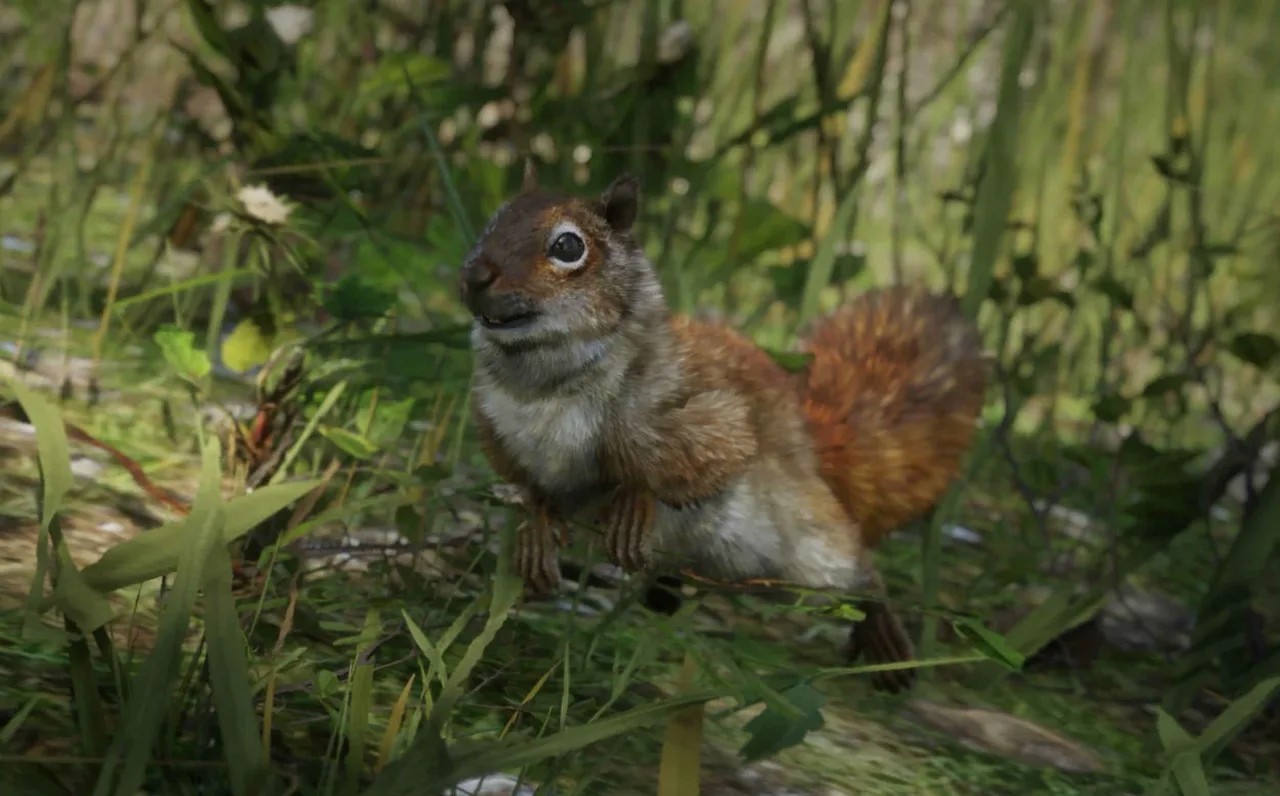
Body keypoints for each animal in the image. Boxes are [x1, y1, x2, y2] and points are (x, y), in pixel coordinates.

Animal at [460, 165, 987, 692]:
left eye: (569, 246)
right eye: (493, 222)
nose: (474, 275)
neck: (541, 383)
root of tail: (812, 450)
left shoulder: (711, 417)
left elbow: (685, 470)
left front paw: (633, 502)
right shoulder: (499, 431)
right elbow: (533, 487)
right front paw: (536, 530)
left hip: (812, 554)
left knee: (859, 571)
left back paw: (884, 636)